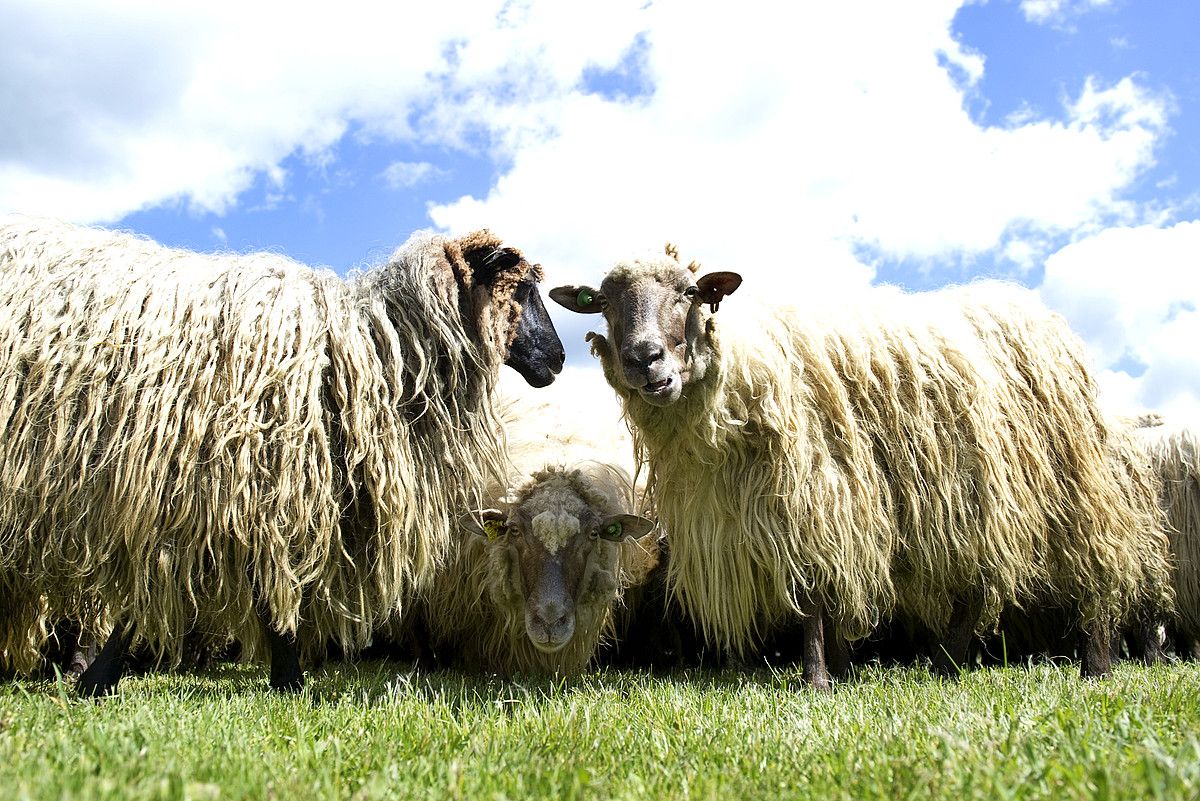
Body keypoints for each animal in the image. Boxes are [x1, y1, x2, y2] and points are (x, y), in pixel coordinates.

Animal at [0, 215, 564, 690]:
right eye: (522, 289)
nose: (558, 359)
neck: (368, 347)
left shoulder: (249, 483)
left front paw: (286, 674)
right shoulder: (220, 477)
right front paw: (99, 678)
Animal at [552, 250, 1171, 690]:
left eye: (688, 293)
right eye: (603, 302)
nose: (644, 359)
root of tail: (1040, 312)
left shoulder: (817, 495)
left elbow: (811, 596)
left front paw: (818, 680)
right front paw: (840, 667)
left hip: (1074, 480)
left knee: (1097, 563)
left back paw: (1096, 664)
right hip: (980, 499)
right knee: (979, 586)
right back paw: (948, 663)